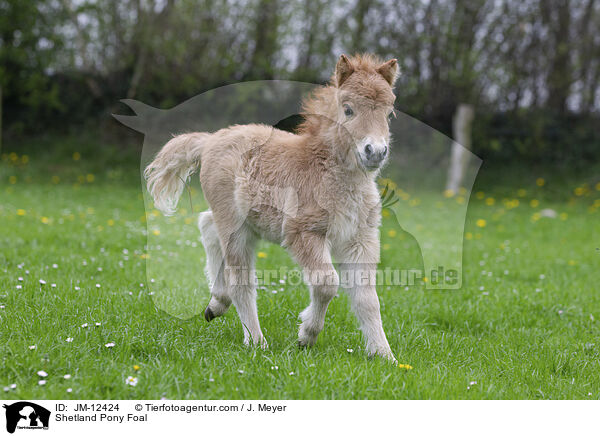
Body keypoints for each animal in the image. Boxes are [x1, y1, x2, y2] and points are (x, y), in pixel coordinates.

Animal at [144, 54, 398, 362]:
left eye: (389, 113)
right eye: (348, 109)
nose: (375, 152)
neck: (323, 169)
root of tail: (209, 140)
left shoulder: (360, 238)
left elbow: (367, 298)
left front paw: (385, 356)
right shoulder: (303, 232)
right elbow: (327, 283)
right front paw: (306, 336)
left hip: (241, 220)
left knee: (207, 225)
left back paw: (216, 303)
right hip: (235, 225)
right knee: (240, 280)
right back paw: (256, 341)